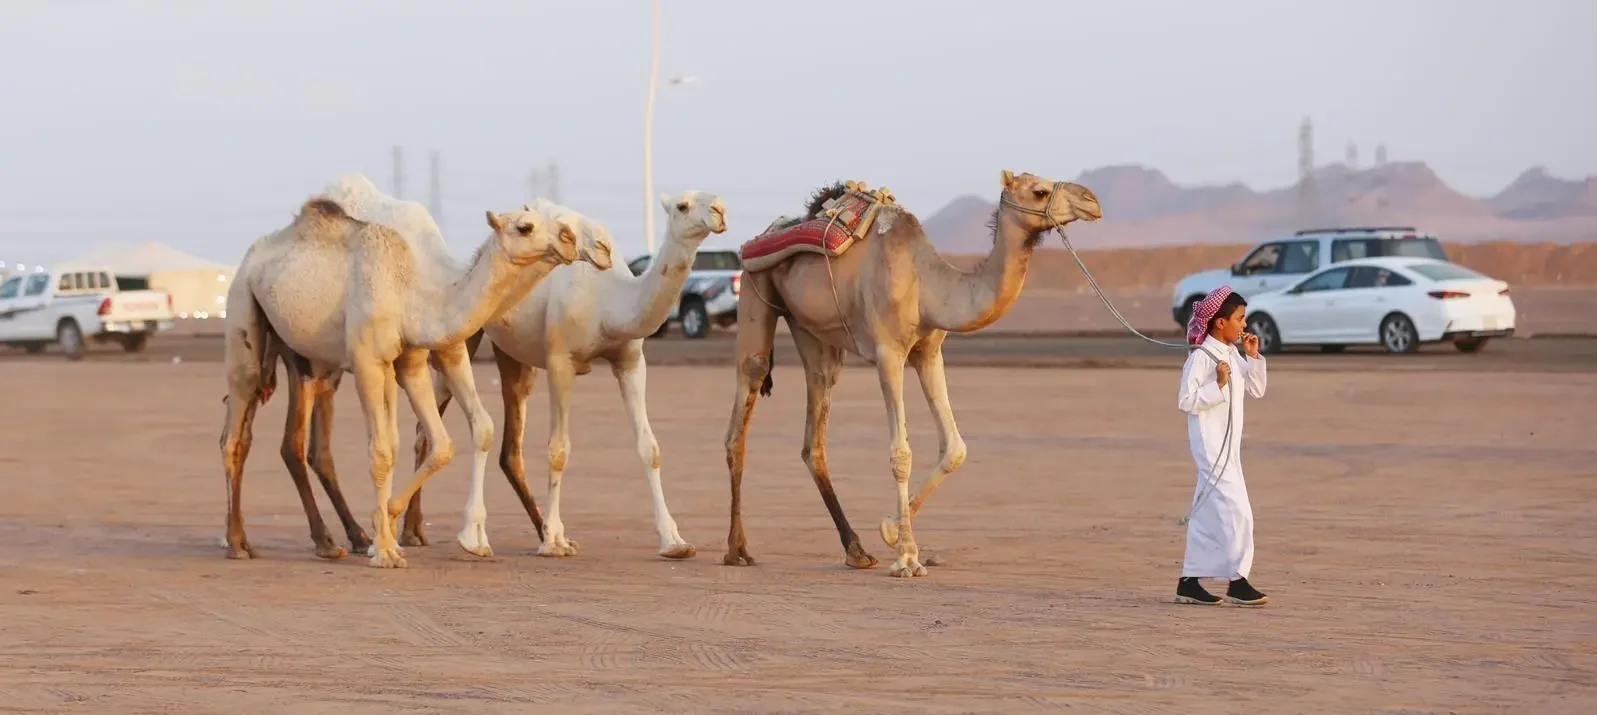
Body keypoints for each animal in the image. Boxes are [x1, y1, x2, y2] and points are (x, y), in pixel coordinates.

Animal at [235, 176, 612, 560]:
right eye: (525, 226)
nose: (572, 238)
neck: (412, 297)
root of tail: (256, 251)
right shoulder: (368, 360)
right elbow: (382, 450)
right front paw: (388, 548)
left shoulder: (411, 360)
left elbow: (432, 443)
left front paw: (387, 529)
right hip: (245, 310)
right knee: (242, 427)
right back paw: (243, 542)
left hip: (310, 355)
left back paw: (343, 537)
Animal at [398, 191, 727, 560]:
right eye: (683, 206)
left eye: (713, 196)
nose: (719, 211)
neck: (609, 300)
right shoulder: (560, 360)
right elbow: (558, 450)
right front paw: (554, 541)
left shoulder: (630, 361)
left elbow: (649, 447)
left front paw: (674, 541)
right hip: (464, 334)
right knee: (425, 429)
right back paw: (414, 533)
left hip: (514, 357)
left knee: (509, 448)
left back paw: (536, 528)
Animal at [722, 170, 1101, 577]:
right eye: (1040, 191)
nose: (1092, 201)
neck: (927, 284)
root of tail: (759, 236)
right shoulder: (889, 353)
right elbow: (900, 453)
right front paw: (906, 556)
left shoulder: (929, 351)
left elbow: (956, 448)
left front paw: (889, 529)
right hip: (755, 284)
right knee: (745, 401)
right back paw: (737, 549)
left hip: (812, 332)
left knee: (815, 433)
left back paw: (856, 550)